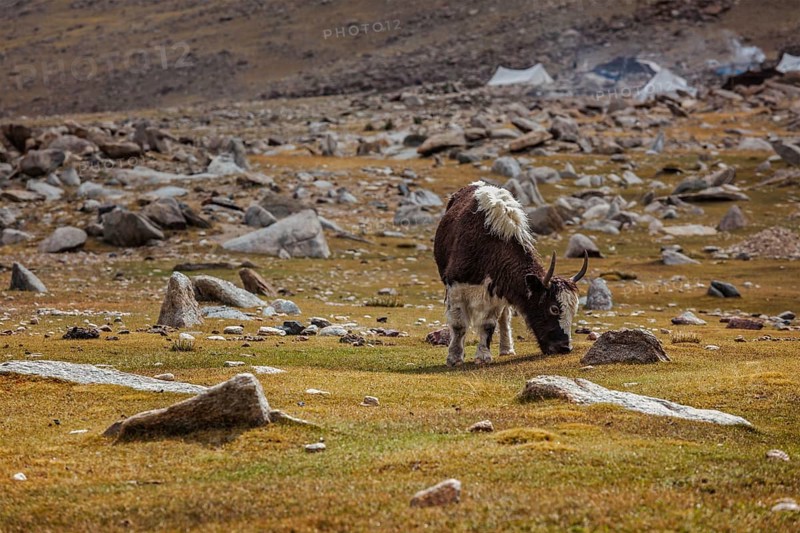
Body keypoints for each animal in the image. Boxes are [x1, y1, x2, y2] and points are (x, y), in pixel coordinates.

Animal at [434, 181, 588, 366]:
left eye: (574, 310)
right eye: (554, 309)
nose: (565, 348)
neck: (491, 247)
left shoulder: (497, 291)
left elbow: (489, 324)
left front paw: (483, 356)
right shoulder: (456, 285)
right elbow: (458, 324)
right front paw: (455, 358)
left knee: (504, 318)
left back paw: (507, 349)